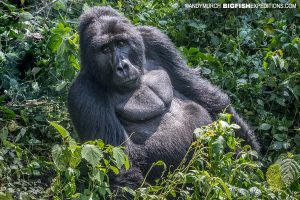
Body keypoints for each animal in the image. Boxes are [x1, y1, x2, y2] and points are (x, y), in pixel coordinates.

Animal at [67, 5, 258, 191]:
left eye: (121, 43)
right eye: (105, 49)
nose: (122, 66)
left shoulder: (154, 39)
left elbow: (202, 93)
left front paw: (248, 153)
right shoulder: (83, 92)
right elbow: (123, 168)